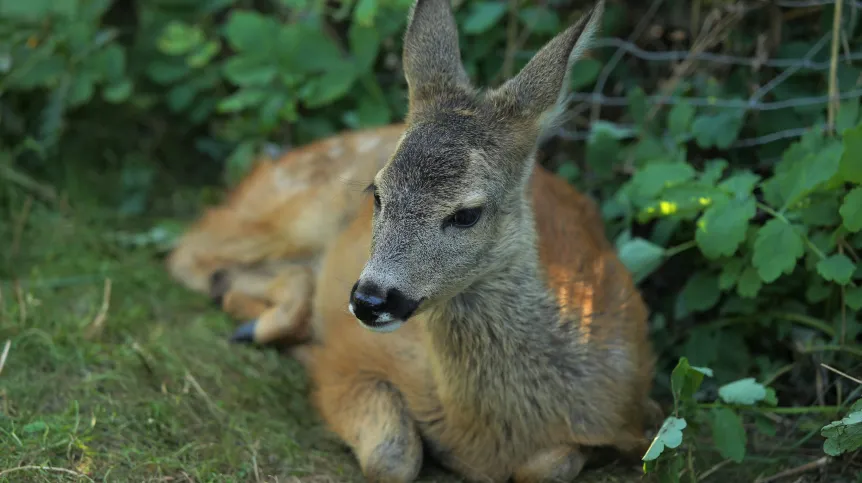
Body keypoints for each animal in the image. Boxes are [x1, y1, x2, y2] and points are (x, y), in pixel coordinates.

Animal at [165, 0, 660, 482]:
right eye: (377, 192)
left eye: (466, 214)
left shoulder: (634, 413)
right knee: (192, 251)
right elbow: (393, 456)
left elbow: (551, 465)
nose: (370, 299)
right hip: (291, 212)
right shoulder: (351, 359)